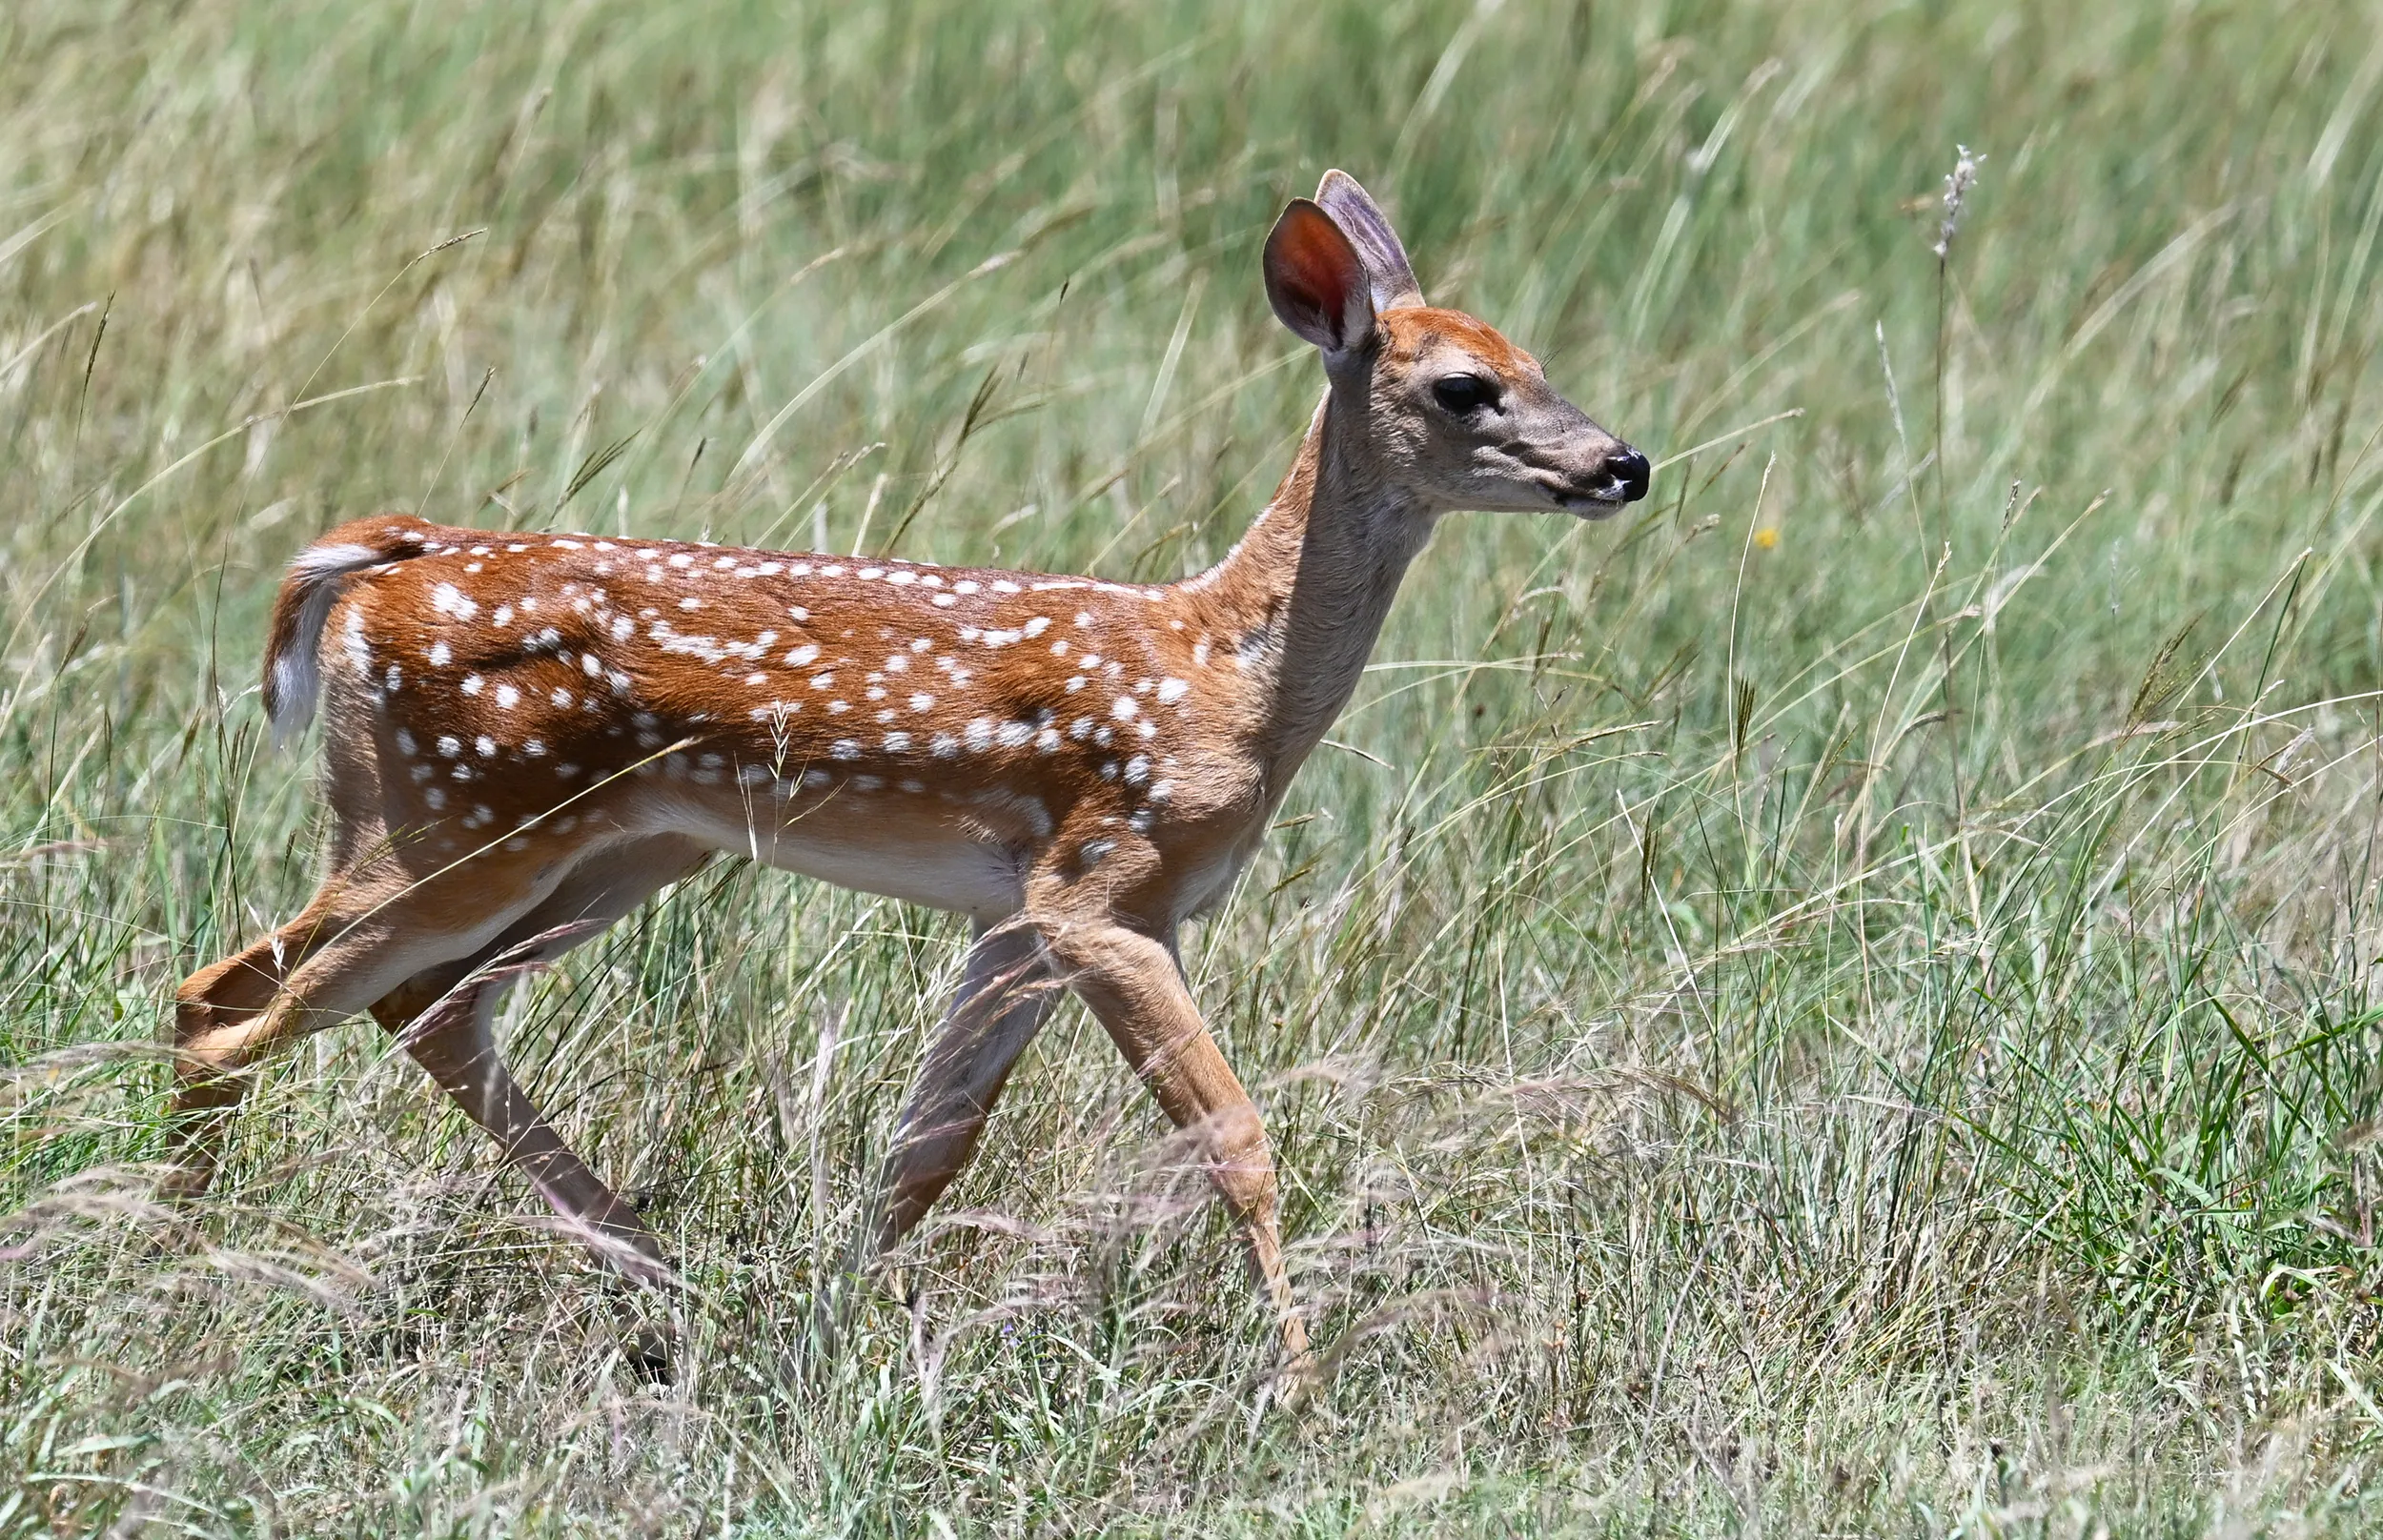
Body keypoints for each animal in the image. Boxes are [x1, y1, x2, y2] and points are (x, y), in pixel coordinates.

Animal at [165, 170, 1649, 1376]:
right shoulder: (1104, 889)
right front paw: (1298, 1383)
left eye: (1540, 357)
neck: (1230, 675)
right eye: (1465, 385)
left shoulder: (1019, 918)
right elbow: (1234, 1138)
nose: (1622, 462)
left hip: (610, 843)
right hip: (456, 814)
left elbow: (927, 1148)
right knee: (237, 1000)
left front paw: (836, 1332)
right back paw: (180, 1260)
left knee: (407, 1006)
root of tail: (379, 568)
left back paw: (661, 1275)